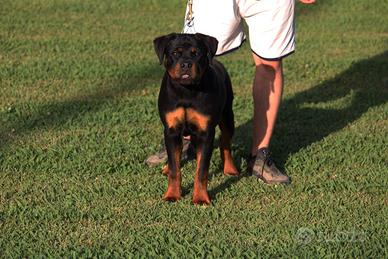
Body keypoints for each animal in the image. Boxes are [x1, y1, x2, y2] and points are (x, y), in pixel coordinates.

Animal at [153, 33, 238, 205]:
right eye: (175, 53)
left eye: (196, 53)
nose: (186, 64)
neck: (187, 91)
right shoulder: (171, 131)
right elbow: (175, 168)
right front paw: (172, 194)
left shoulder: (205, 133)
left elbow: (201, 170)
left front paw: (201, 198)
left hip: (227, 116)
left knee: (225, 142)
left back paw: (230, 168)